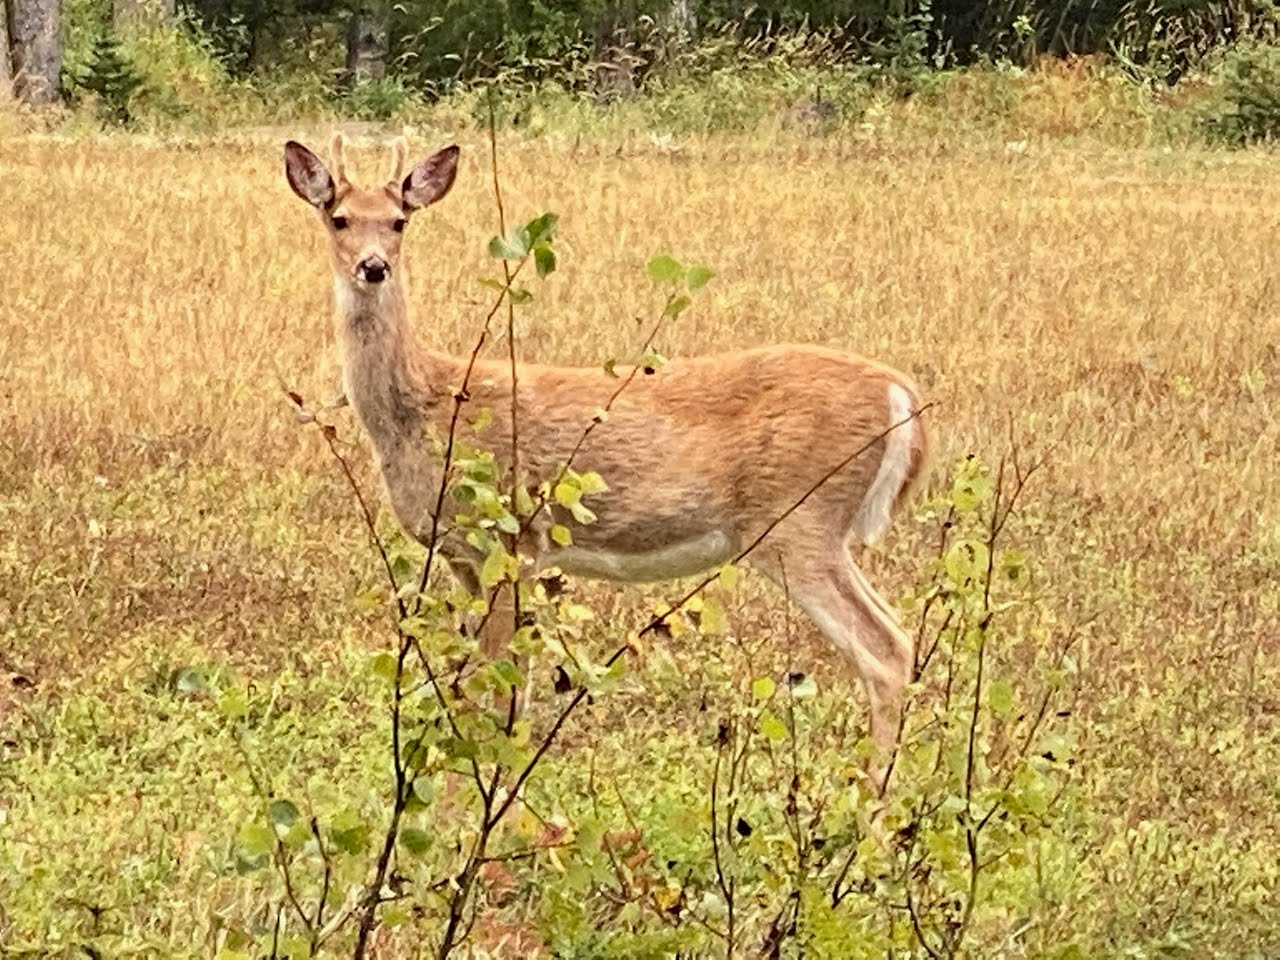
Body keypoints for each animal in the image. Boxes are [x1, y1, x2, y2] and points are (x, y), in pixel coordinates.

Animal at [283, 135, 929, 791]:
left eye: (399, 221)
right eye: (339, 218)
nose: (373, 266)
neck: (426, 407)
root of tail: (902, 394)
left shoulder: (512, 543)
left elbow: (503, 698)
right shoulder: (461, 557)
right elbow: (469, 693)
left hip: (799, 520)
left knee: (886, 649)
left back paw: (870, 807)